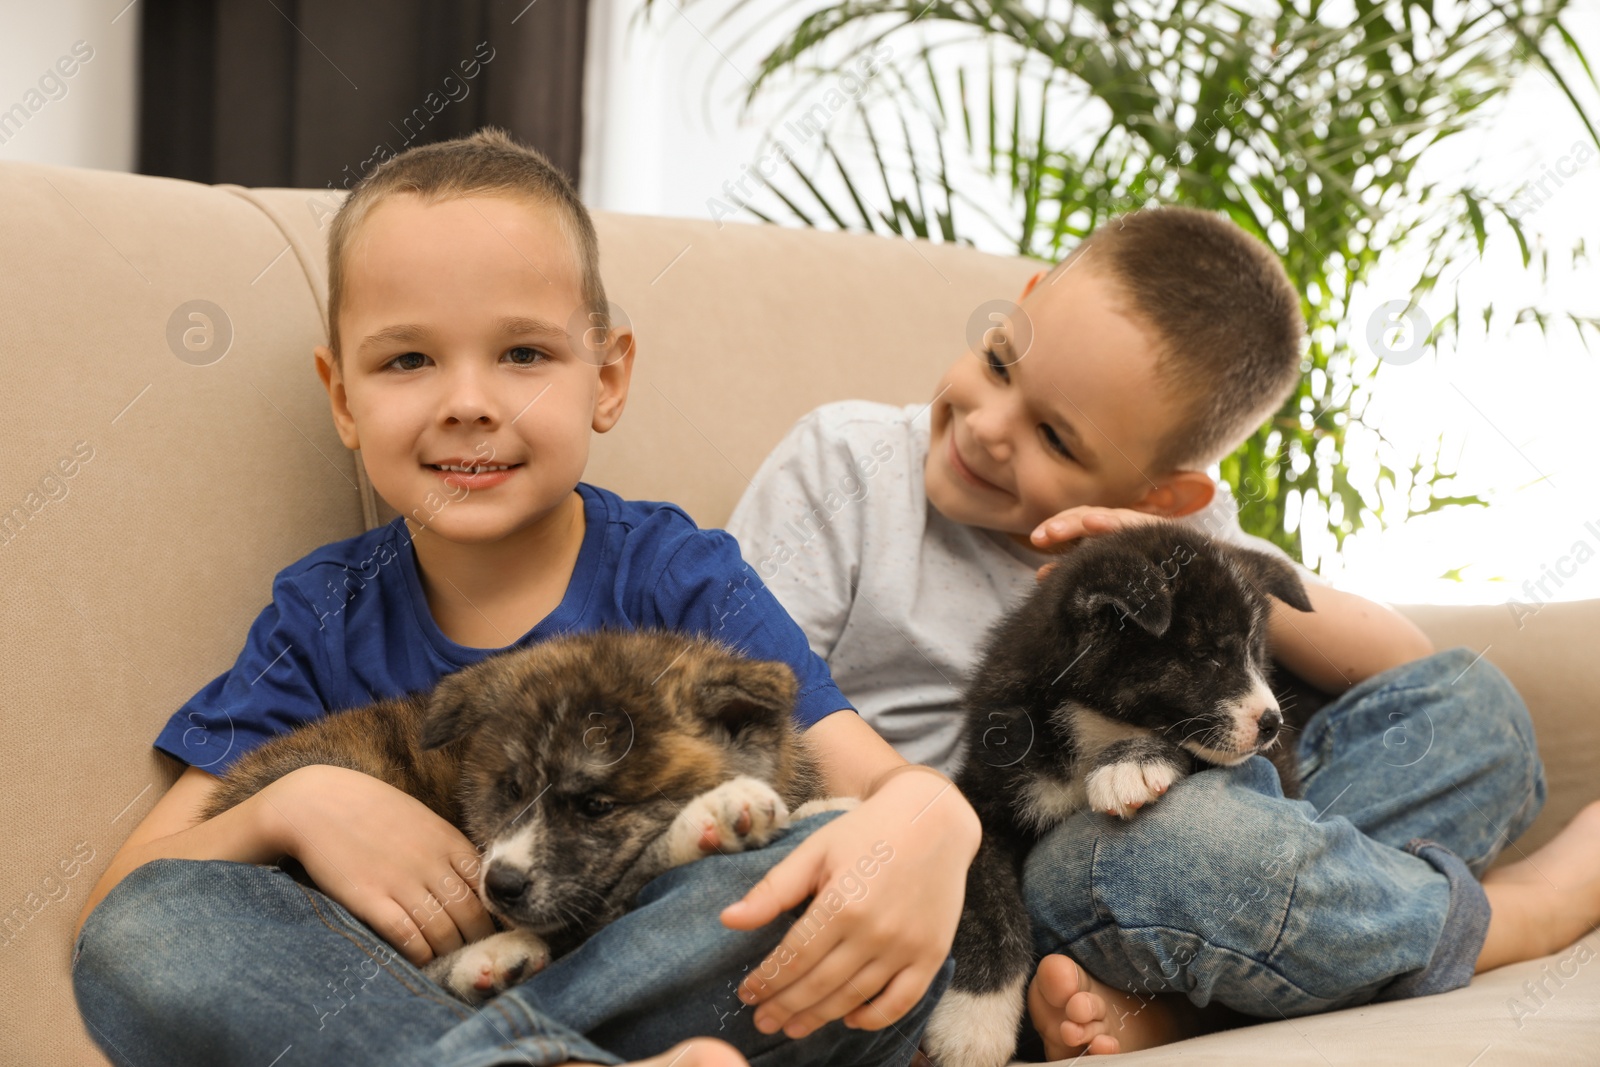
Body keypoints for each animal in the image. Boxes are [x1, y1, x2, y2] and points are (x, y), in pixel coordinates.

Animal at [928, 521, 1312, 1062]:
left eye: (1256, 653)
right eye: (1207, 656)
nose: (1273, 723)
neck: (1095, 726)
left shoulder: (1272, 764)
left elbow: (1197, 752)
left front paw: (1133, 762)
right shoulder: (989, 787)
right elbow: (988, 904)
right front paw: (972, 1022)